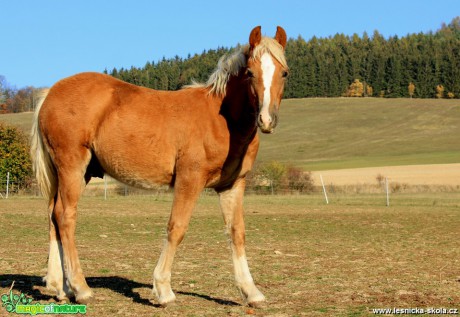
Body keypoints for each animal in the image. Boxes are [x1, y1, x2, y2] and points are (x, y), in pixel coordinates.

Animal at [29, 25, 288, 306]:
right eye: (250, 72)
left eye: (284, 72)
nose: (267, 120)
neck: (222, 119)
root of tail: (51, 92)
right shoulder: (189, 179)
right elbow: (177, 228)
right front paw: (163, 289)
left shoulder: (232, 186)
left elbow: (236, 232)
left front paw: (251, 291)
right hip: (72, 168)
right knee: (65, 216)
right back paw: (80, 287)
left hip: (74, 173)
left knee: (53, 216)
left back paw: (60, 286)